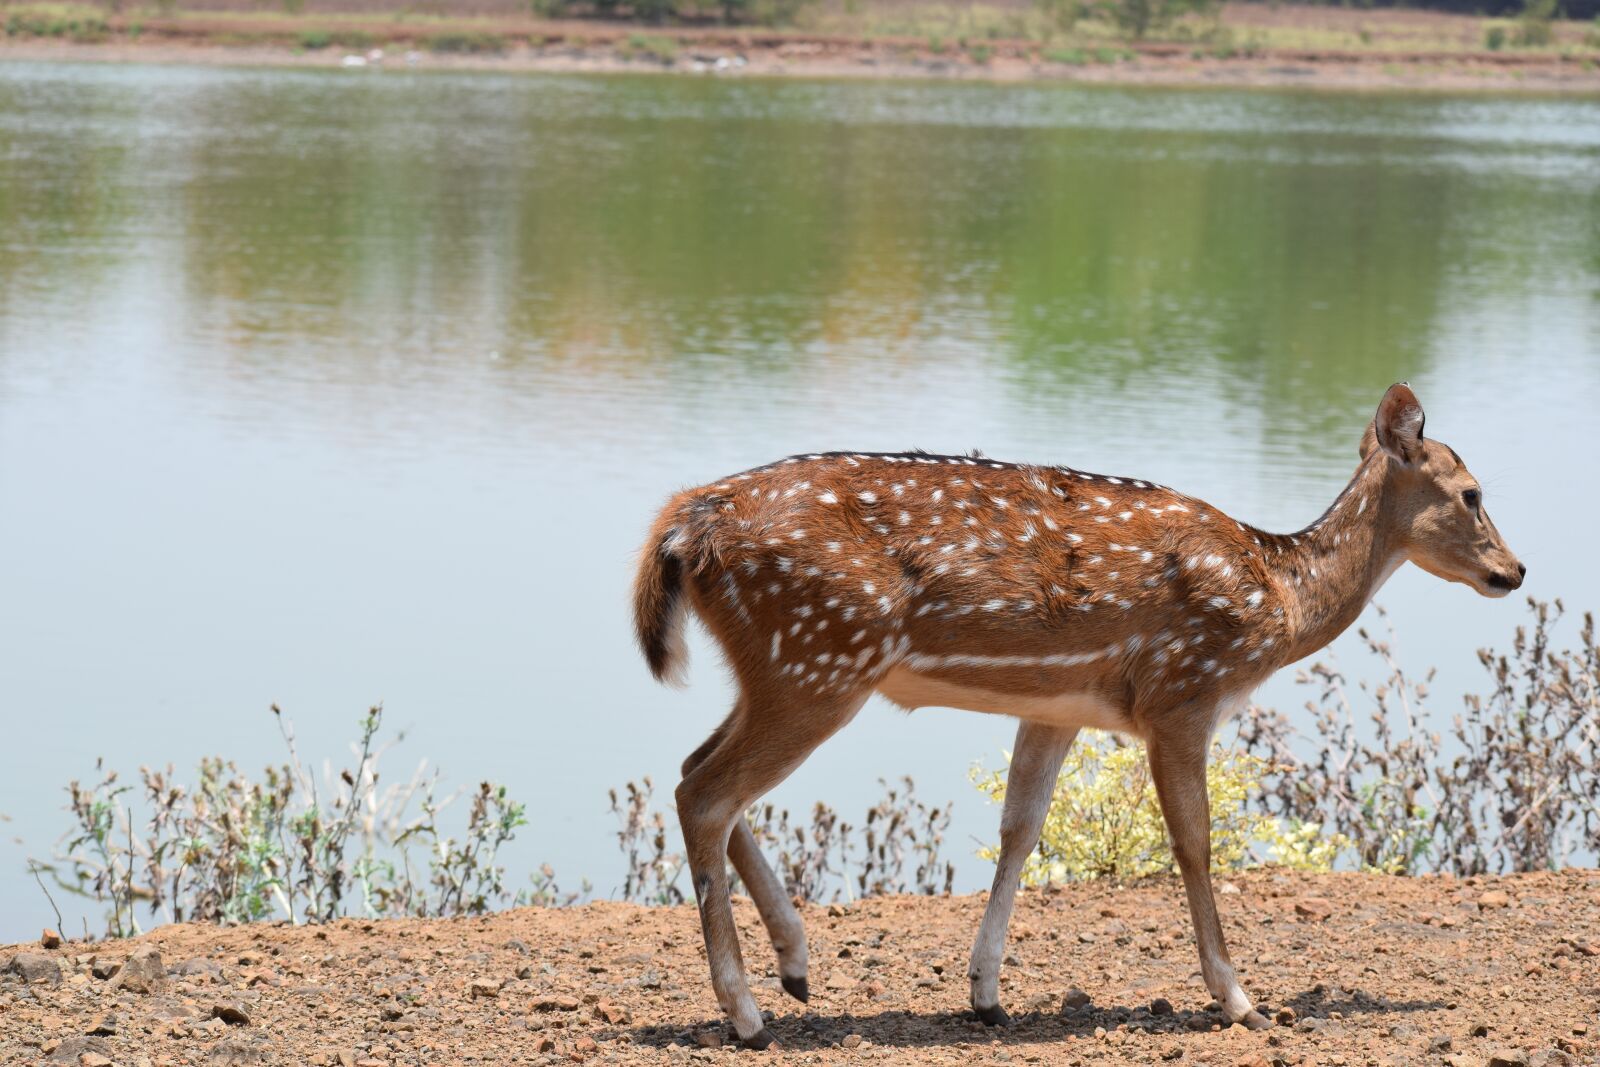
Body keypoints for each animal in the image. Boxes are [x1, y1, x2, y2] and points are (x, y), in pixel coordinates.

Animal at [631, 382, 1524, 1048]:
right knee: (706, 791)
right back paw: (747, 1012)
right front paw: (1240, 999)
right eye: (1472, 493)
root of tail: (682, 522)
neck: (1280, 597)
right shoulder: (1181, 693)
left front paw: (986, 993)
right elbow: (1194, 842)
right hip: (820, 659)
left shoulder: (1058, 707)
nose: (1514, 571)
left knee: (693, 772)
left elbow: (1020, 829)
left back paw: (796, 963)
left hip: (783, 667)